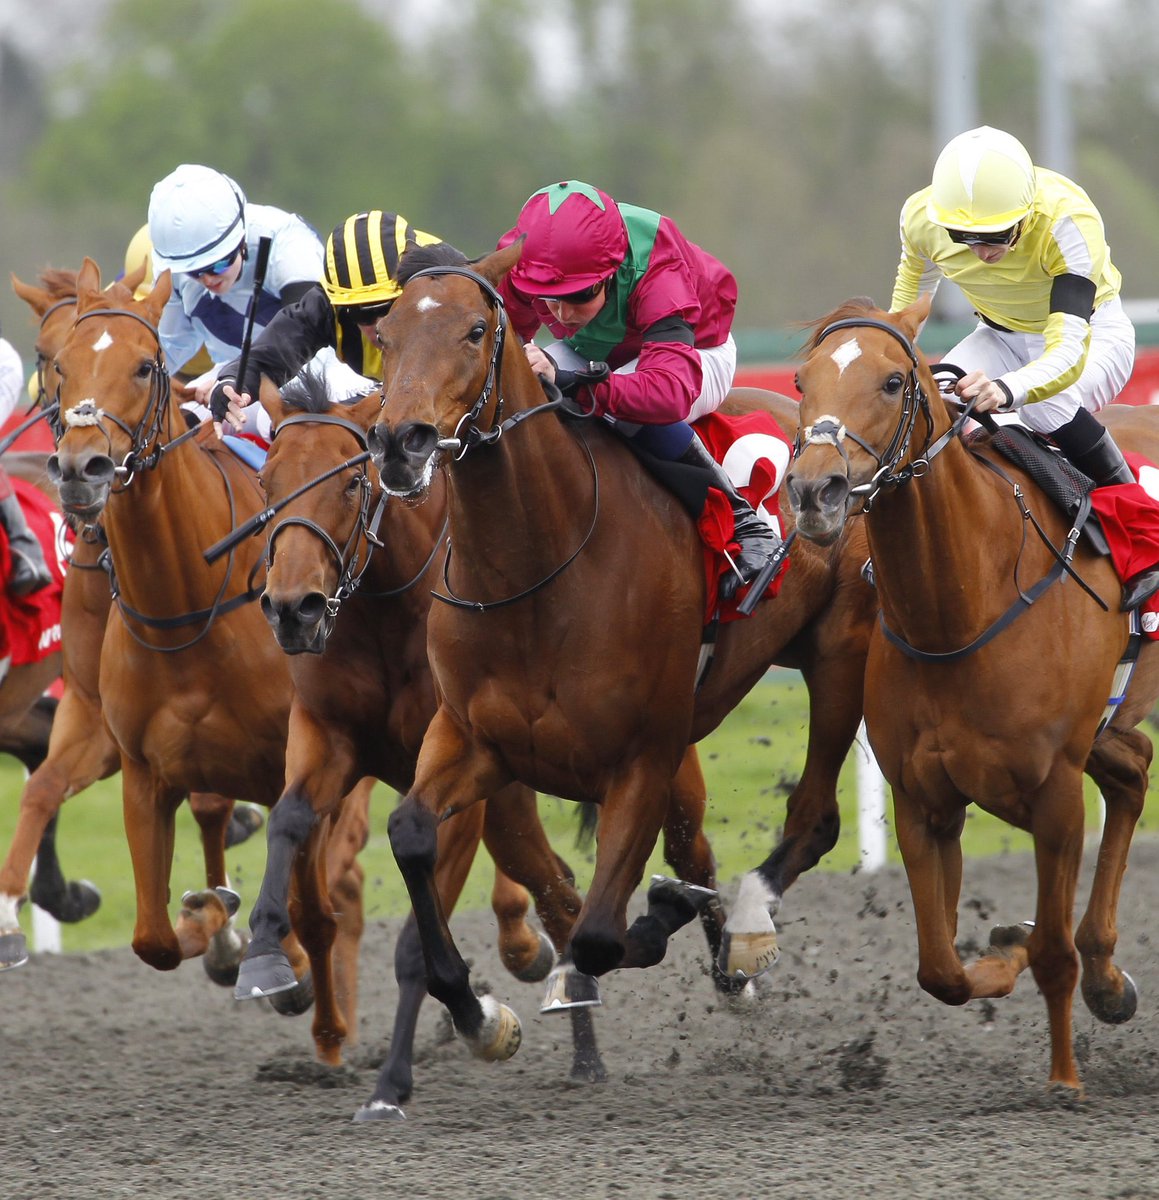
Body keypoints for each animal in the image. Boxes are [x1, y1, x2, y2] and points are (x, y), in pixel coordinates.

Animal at [357, 241, 873, 1060]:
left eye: (475, 331)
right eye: (386, 335)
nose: (400, 445)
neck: (535, 571)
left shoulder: (640, 757)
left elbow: (600, 932)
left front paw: (654, 919)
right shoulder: (475, 739)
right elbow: (411, 834)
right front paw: (477, 1012)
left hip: (837, 654)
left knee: (812, 818)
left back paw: (741, 936)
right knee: (696, 848)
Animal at [782, 295, 1159, 1094]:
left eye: (894, 381)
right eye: (800, 381)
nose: (813, 492)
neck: (960, 604)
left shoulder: (1054, 796)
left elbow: (1052, 953)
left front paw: (1064, 1079)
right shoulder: (924, 800)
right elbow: (942, 969)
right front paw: (1010, 946)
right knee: (1134, 769)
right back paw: (1108, 978)